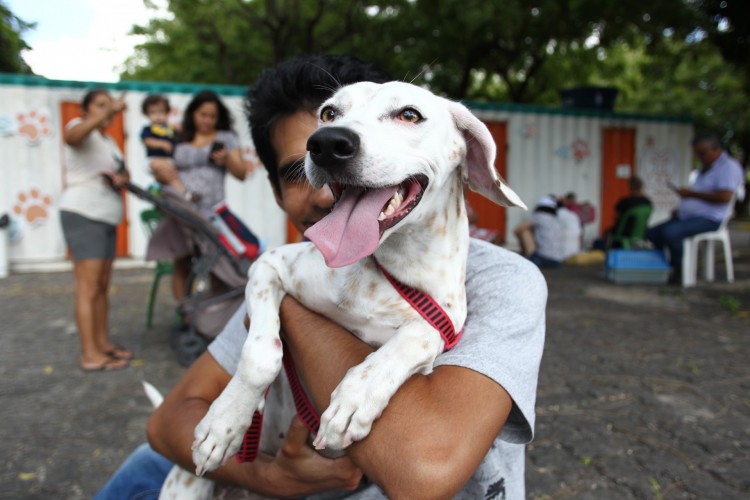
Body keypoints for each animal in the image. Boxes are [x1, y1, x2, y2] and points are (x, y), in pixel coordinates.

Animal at [191, 82, 524, 480]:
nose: (326, 143)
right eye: (328, 113)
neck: (387, 265)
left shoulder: (445, 324)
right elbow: (261, 355)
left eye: (409, 114)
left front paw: (355, 399)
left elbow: (416, 337)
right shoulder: (268, 266)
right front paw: (224, 422)